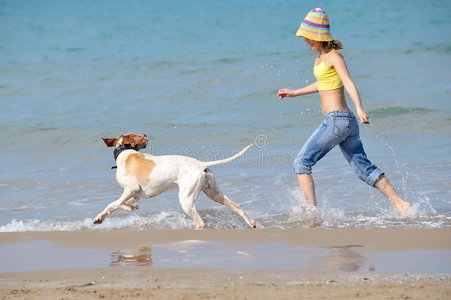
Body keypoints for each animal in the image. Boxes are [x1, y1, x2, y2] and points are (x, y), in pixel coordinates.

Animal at [94, 132, 258, 229]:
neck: (124, 152)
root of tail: (201, 164)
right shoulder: (136, 194)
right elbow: (119, 204)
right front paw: (130, 208)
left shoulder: (131, 189)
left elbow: (114, 204)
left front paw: (101, 217)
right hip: (214, 193)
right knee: (237, 207)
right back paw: (252, 223)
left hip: (186, 200)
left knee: (200, 222)